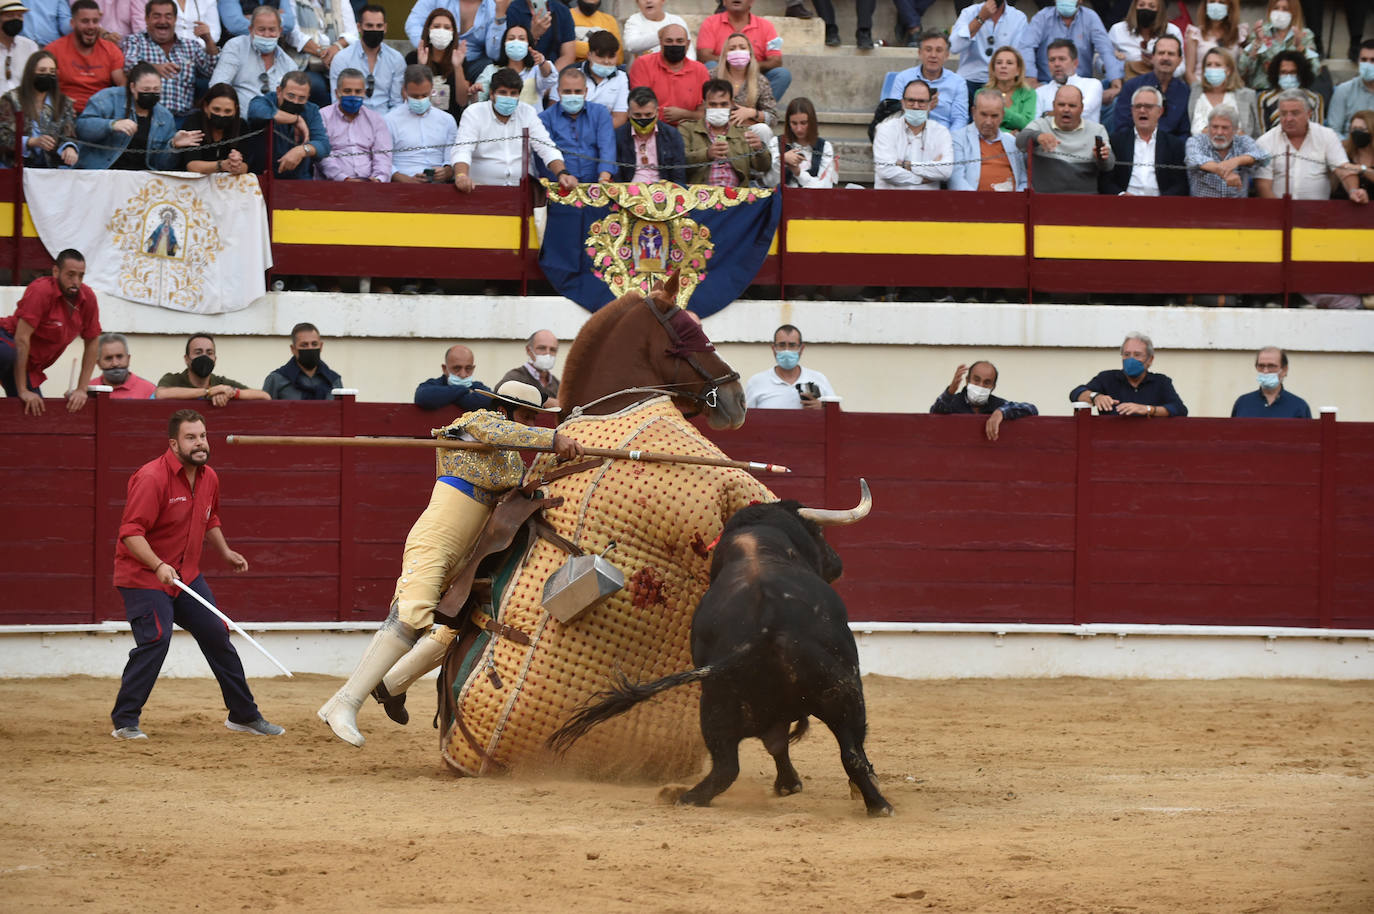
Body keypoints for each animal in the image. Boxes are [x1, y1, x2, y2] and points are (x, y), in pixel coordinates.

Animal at [546, 489, 890, 813]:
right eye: (817, 532)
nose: (837, 563)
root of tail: (766, 633)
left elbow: (776, 745)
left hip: (721, 704)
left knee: (736, 761)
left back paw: (688, 797)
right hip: (844, 694)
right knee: (847, 752)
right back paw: (877, 803)